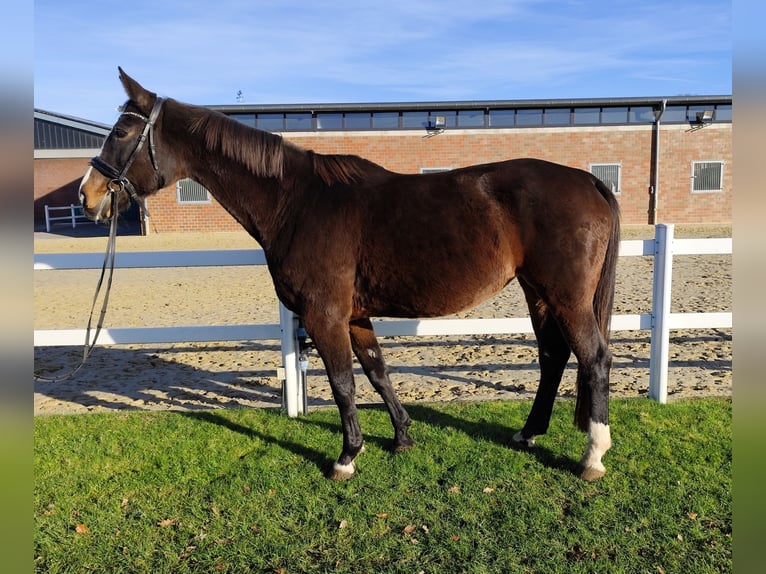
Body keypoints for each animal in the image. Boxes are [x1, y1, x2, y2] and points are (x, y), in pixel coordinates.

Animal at [82, 67, 624, 484]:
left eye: (122, 133)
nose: (90, 196)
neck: (297, 202)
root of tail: (587, 180)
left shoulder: (324, 315)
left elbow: (343, 382)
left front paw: (346, 457)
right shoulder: (356, 315)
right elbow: (377, 373)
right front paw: (401, 436)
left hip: (566, 297)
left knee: (593, 358)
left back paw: (592, 456)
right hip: (538, 293)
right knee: (553, 357)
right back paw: (528, 433)